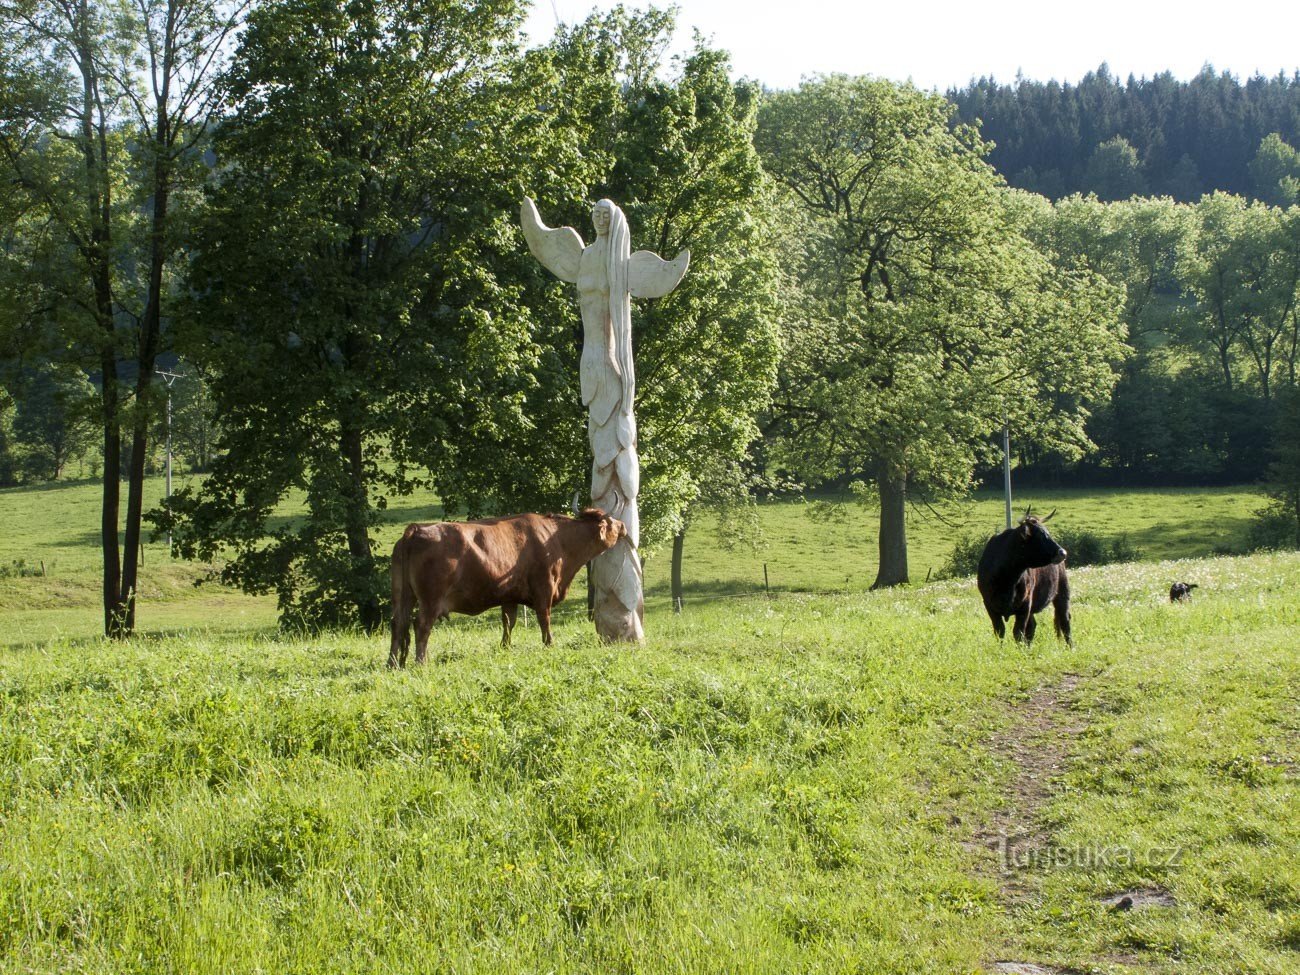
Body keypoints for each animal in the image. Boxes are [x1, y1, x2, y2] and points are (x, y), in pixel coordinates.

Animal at [387, 506, 626, 670]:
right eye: (611, 520)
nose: (623, 525)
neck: (557, 539)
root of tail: (415, 529)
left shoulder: (509, 596)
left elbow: (508, 622)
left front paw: (505, 647)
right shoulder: (544, 589)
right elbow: (544, 619)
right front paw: (549, 644)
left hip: (402, 596)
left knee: (398, 624)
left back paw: (392, 664)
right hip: (431, 599)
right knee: (421, 626)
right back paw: (421, 662)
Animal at [977, 512, 1071, 650]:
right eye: (1040, 536)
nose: (1063, 552)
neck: (1007, 580)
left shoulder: (1025, 605)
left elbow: (1018, 632)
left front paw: (1019, 651)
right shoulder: (989, 605)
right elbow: (999, 631)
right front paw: (1001, 650)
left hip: (1062, 591)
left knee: (1065, 620)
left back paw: (1071, 647)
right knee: (1033, 626)